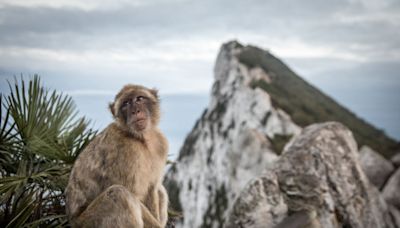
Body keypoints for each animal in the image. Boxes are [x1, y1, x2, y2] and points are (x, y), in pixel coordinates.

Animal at [65, 84, 168, 227]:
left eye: (139, 98)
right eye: (126, 103)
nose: (135, 111)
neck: (140, 139)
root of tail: (71, 221)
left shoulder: (160, 144)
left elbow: (152, 189)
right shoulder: (124, 150)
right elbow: (132, 194)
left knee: (160, 191)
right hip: (89, 222)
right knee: (119, 194)